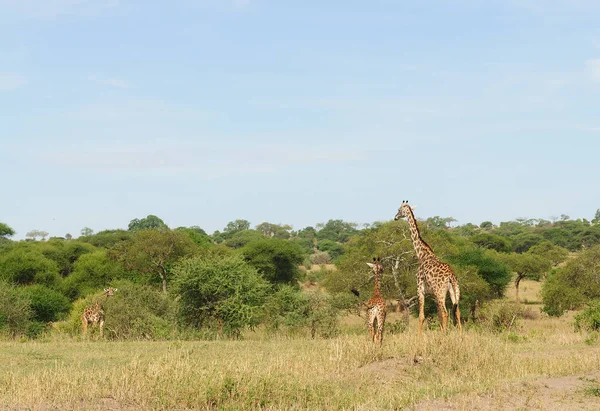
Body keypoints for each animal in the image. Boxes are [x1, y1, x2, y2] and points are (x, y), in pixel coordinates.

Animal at [394, 201, 464, 336]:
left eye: (399, 209)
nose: (395, 217)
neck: (422, 254)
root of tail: (451, 276)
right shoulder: (433, 294)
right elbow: (438, 315)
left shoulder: (420, 289)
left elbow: (422, 316)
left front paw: (419, 337)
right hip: (453, 290)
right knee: (457, 311)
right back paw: (460, 335)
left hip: (440, 291)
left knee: (446, 313)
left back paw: (445, 336)